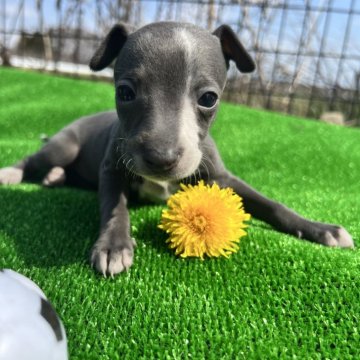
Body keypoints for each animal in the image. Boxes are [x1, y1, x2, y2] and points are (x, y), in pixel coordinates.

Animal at [0, 21, 354, 276]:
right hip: (65, 146)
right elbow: (114, 205)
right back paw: (13, 174)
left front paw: (319, 229)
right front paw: (113, 246)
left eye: (209, 98)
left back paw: (55, 178)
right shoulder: (112, 168)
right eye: (125, 92)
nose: (162, 159)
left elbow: (270, 204)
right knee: (35, 159)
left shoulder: (221, 177)